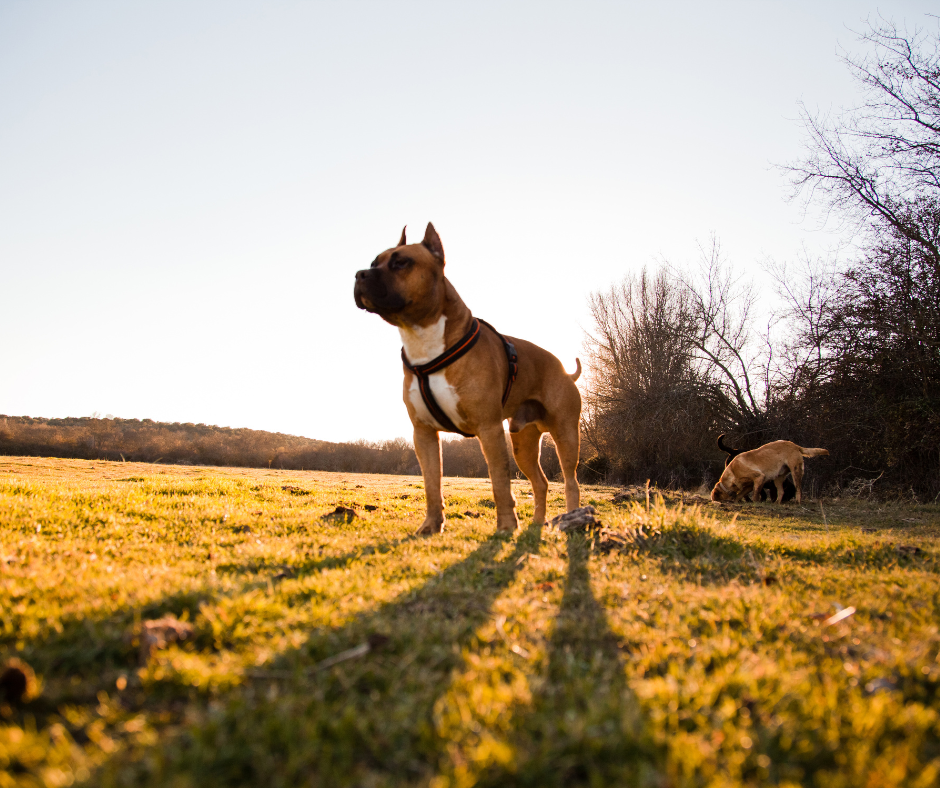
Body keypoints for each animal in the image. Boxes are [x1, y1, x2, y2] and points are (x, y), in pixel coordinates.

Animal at [356, 222, 584, 536]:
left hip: (566, 436)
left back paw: (573, 518)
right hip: (523, 444)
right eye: (372, 263)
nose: (359, 275)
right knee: (541, 482)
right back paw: (538, 523)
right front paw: (431, 525)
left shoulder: (489, 429)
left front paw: (506, 527)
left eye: (401, 263)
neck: (424, 341)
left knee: (571, 481)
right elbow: (432, 484)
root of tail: (565, 371)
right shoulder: (423, 434)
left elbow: (500, 483)